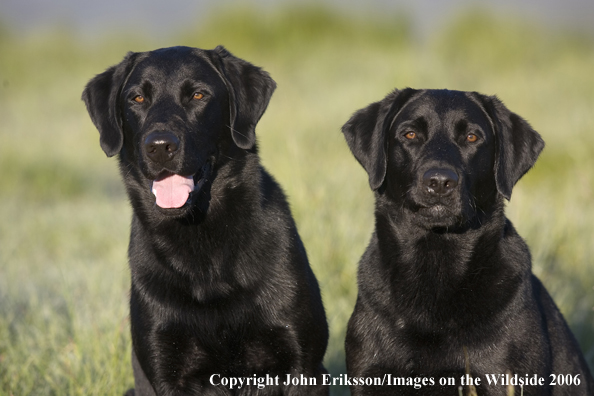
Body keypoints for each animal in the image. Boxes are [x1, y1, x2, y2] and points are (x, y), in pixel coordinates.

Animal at [81, 45, 328, 392]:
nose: (159, 146)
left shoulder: (302, 366)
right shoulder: (167, 371)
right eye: (137, 98)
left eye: (198, 95)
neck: (203, 244)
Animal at [340, 89, 592, 396]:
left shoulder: (499, 377)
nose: (439, 181)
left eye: (472, 137)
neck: (435, 263)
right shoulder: (372, 374)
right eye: (410, 134)